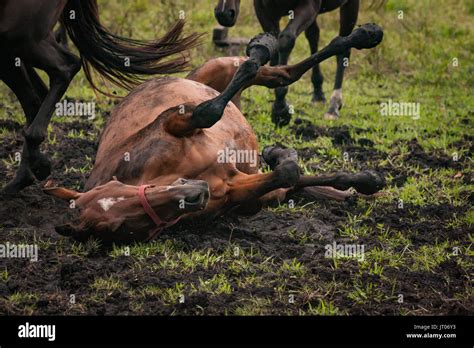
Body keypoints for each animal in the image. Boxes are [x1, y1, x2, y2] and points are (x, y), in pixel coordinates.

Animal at [45, 24, 386, 243]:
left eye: (121, 190)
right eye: (119, 226)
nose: (194, 194)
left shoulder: (174, 120)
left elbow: (209, 111)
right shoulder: (233, 186)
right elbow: (288, 173)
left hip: (218, 67)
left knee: (273, 73)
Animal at [215, 0, 360, 125]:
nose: (224, 14)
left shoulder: (308, 5)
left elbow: (286, 40)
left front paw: (280, 109)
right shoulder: (263, 9)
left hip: (350, 5)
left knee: (343, 49)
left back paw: (333, 106)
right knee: (314, 36)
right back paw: (318, 93)